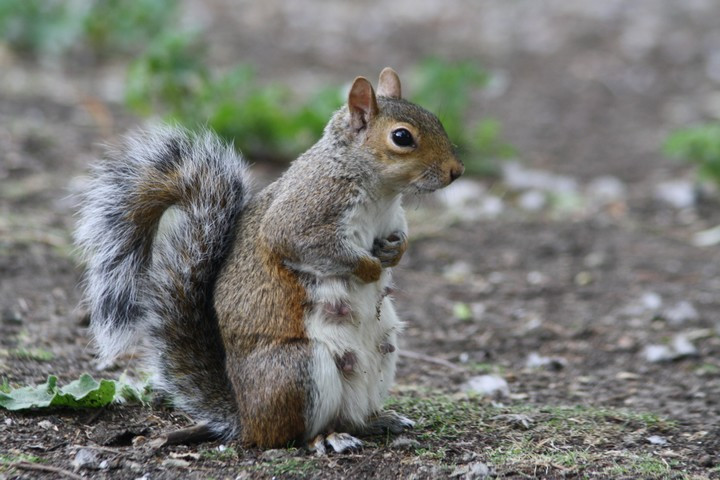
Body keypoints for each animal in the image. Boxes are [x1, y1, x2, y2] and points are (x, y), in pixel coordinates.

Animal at [76, 66, 464, 450]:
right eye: (402, 137)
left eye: (436, 120)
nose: (456, 171)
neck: (381, 192)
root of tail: (246, 419)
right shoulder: (304, 215)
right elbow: (306, 244)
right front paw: (368, 268)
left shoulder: (393, 220)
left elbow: (400, 240)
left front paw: (394, 253)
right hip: (299, 370)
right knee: (291, 435)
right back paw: (328, 438)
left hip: (381, 360)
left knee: (351, 417)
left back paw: (378, 421)